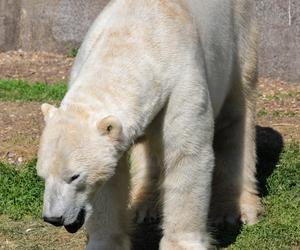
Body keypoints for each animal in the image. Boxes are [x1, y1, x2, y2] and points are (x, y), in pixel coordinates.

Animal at [37, 0, 262, 248]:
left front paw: (181, 243)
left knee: (237, 115)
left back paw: (235, 210)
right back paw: (144, 205)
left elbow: (185, 155)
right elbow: (110, 176)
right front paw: (106, 242)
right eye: (42, 175)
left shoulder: (182, 84)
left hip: (239, 32)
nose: (54, 218)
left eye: (74, 176)